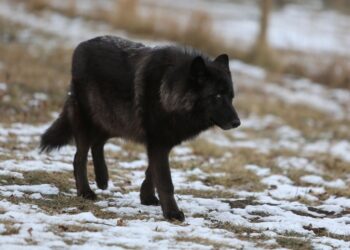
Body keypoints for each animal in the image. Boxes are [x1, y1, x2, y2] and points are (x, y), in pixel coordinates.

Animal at [39, 35, 239, 221]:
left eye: (231, 97)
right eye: (217, 96)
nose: (237, 123)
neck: (167, 91)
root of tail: (81, 45)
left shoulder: (160, 142)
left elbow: (152, 172)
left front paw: (147, 197)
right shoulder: (158, 142)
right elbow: (165, 181)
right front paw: (172, 213)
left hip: (115, 120)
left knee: (98, 144)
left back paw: (102, 179)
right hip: (92, 121)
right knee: (79, 157)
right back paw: (86, 192)